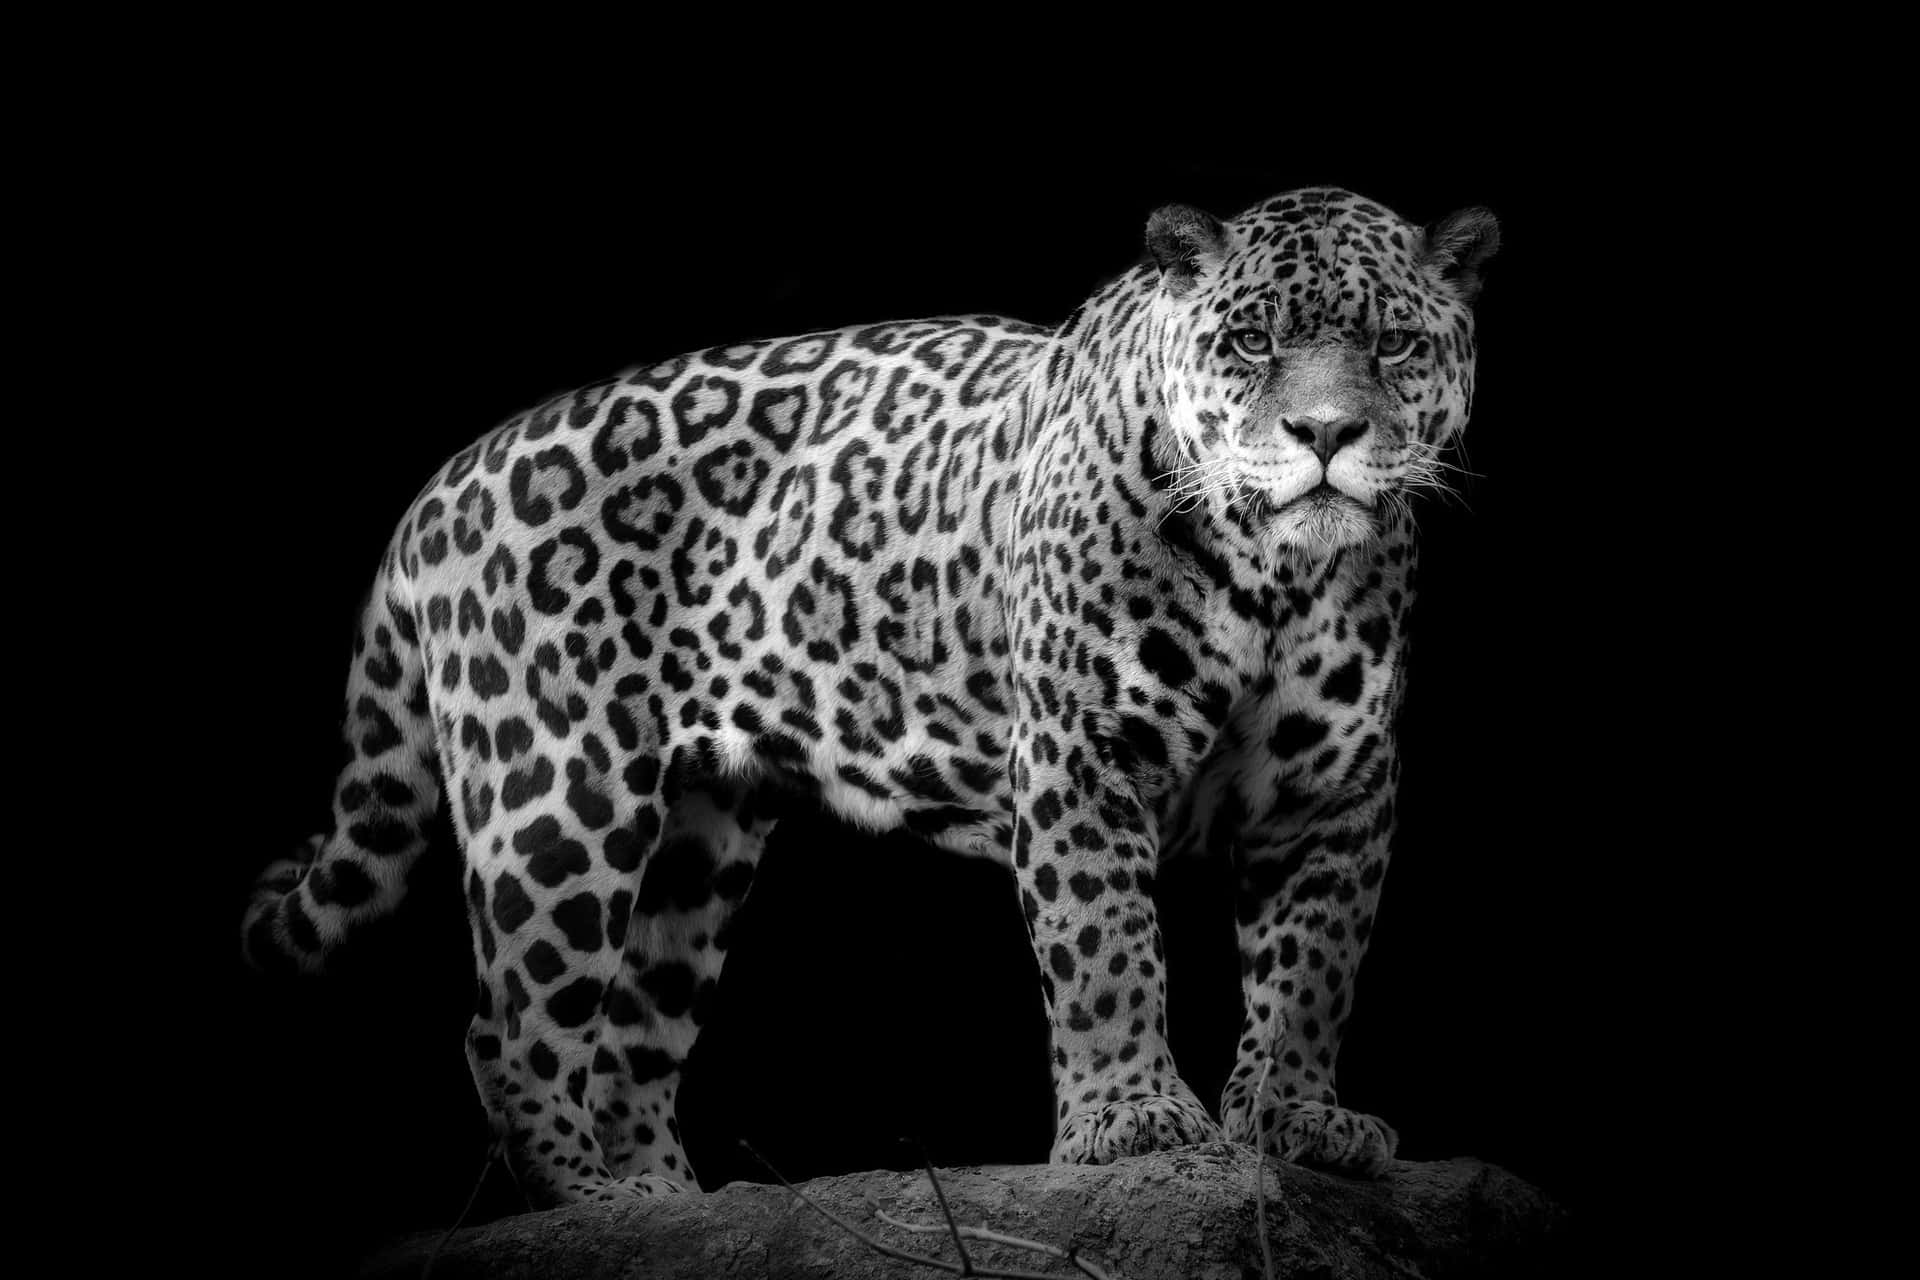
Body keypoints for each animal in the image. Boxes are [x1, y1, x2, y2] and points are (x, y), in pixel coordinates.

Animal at [240, 185, 1497, 1205]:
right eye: (1251, 340)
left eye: (1393, 343)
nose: (1325, 433)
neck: (1277, 573)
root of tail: (440, 485)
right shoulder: (1081, 753)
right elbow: (1106, 946)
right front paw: (1135, 1120)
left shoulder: (1335, 787)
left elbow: (1313, 966)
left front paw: (1296, 1118)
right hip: (556, 799)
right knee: (510, 1027)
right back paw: (588, 1202)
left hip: (700, 842)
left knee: (631, 1040)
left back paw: (669, 1204)